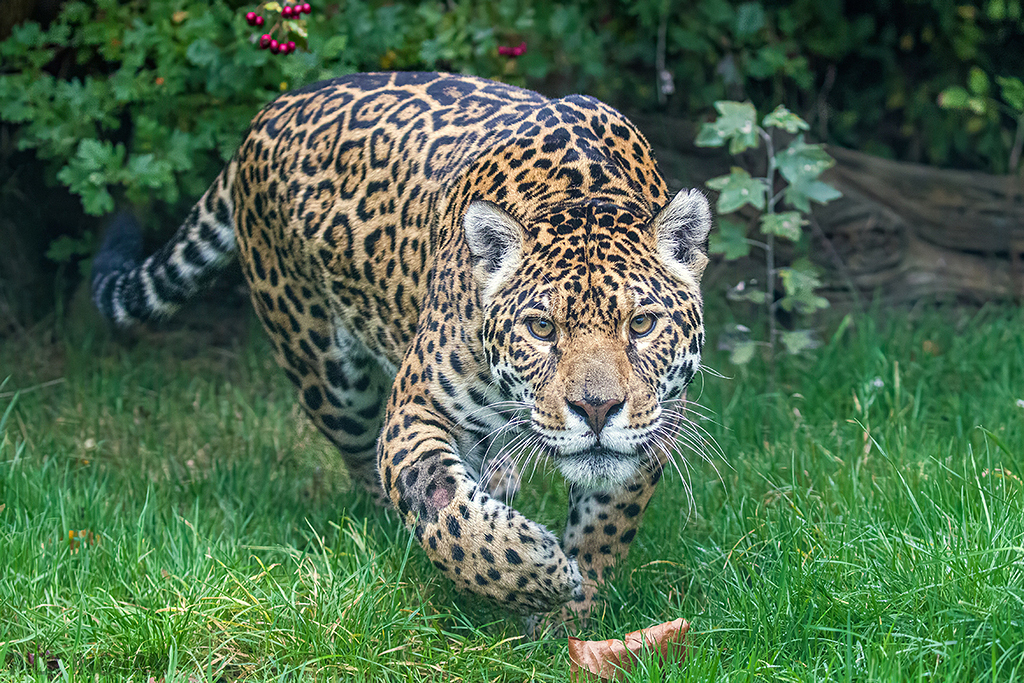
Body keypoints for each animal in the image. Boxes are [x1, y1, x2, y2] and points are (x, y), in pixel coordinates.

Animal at [92, 71, 713, 623]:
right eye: (541, 329)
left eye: (642, 325)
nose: (597, 410)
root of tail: (266, 115)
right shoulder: (417, 408)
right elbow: (449, 513)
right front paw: (539, 573)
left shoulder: (655, 425)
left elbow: (604, 528)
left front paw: (570, 621)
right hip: (331, 381)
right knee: (368, 470)